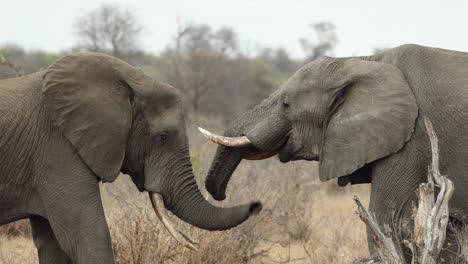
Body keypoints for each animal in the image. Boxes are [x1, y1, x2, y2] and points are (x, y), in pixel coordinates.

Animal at [0, 52, 262, 262]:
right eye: (162, 138)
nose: (257, 205)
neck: (129, 82)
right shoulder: (57, 150)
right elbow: (88, 237)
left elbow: (54, 247)